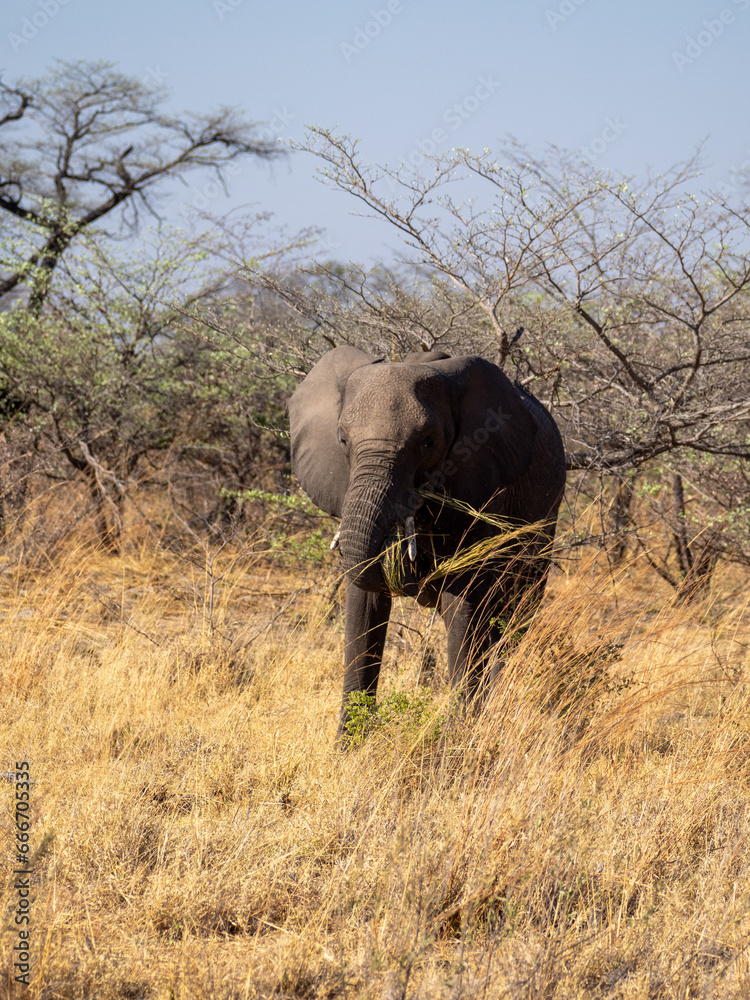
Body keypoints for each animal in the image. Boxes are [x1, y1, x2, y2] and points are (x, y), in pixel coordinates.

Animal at [288, 346, 566, 741]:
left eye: (428, 442)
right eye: (343, 440)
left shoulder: (481, 484)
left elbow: (463, 605)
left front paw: (457, 743)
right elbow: (363, 606)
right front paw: (347, 747)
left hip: (545, 517)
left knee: (512, 616)